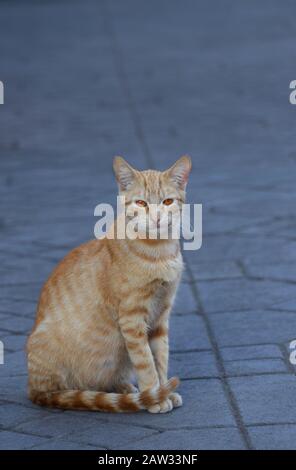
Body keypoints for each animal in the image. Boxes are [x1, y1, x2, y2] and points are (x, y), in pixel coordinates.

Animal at [26, 156, 191, 414]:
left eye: (167, 201)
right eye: (141, 202)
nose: (156, 218)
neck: (159, 251)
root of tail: (32, 388)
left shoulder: (161, 315)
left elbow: (160, 357)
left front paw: (163, 390)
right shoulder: (132, 319)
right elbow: (146, 362)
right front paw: (156, 396)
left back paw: (127, 389)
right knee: (63, 392)